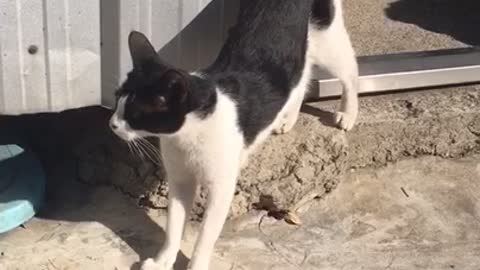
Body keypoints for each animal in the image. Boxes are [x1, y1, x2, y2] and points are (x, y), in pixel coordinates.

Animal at [109, 0, 356, 270]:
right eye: (117, 98)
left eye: (135, 114)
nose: (112, 124)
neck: (186, 136)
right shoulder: (180, 179)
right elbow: (173, 225)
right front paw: (162, 260)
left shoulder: (221, 188)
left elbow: (205, 235)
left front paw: (195, 265)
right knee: (301, 76)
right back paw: (287, 119)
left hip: (326, 37)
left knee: (348, 70)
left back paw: (348, 113)